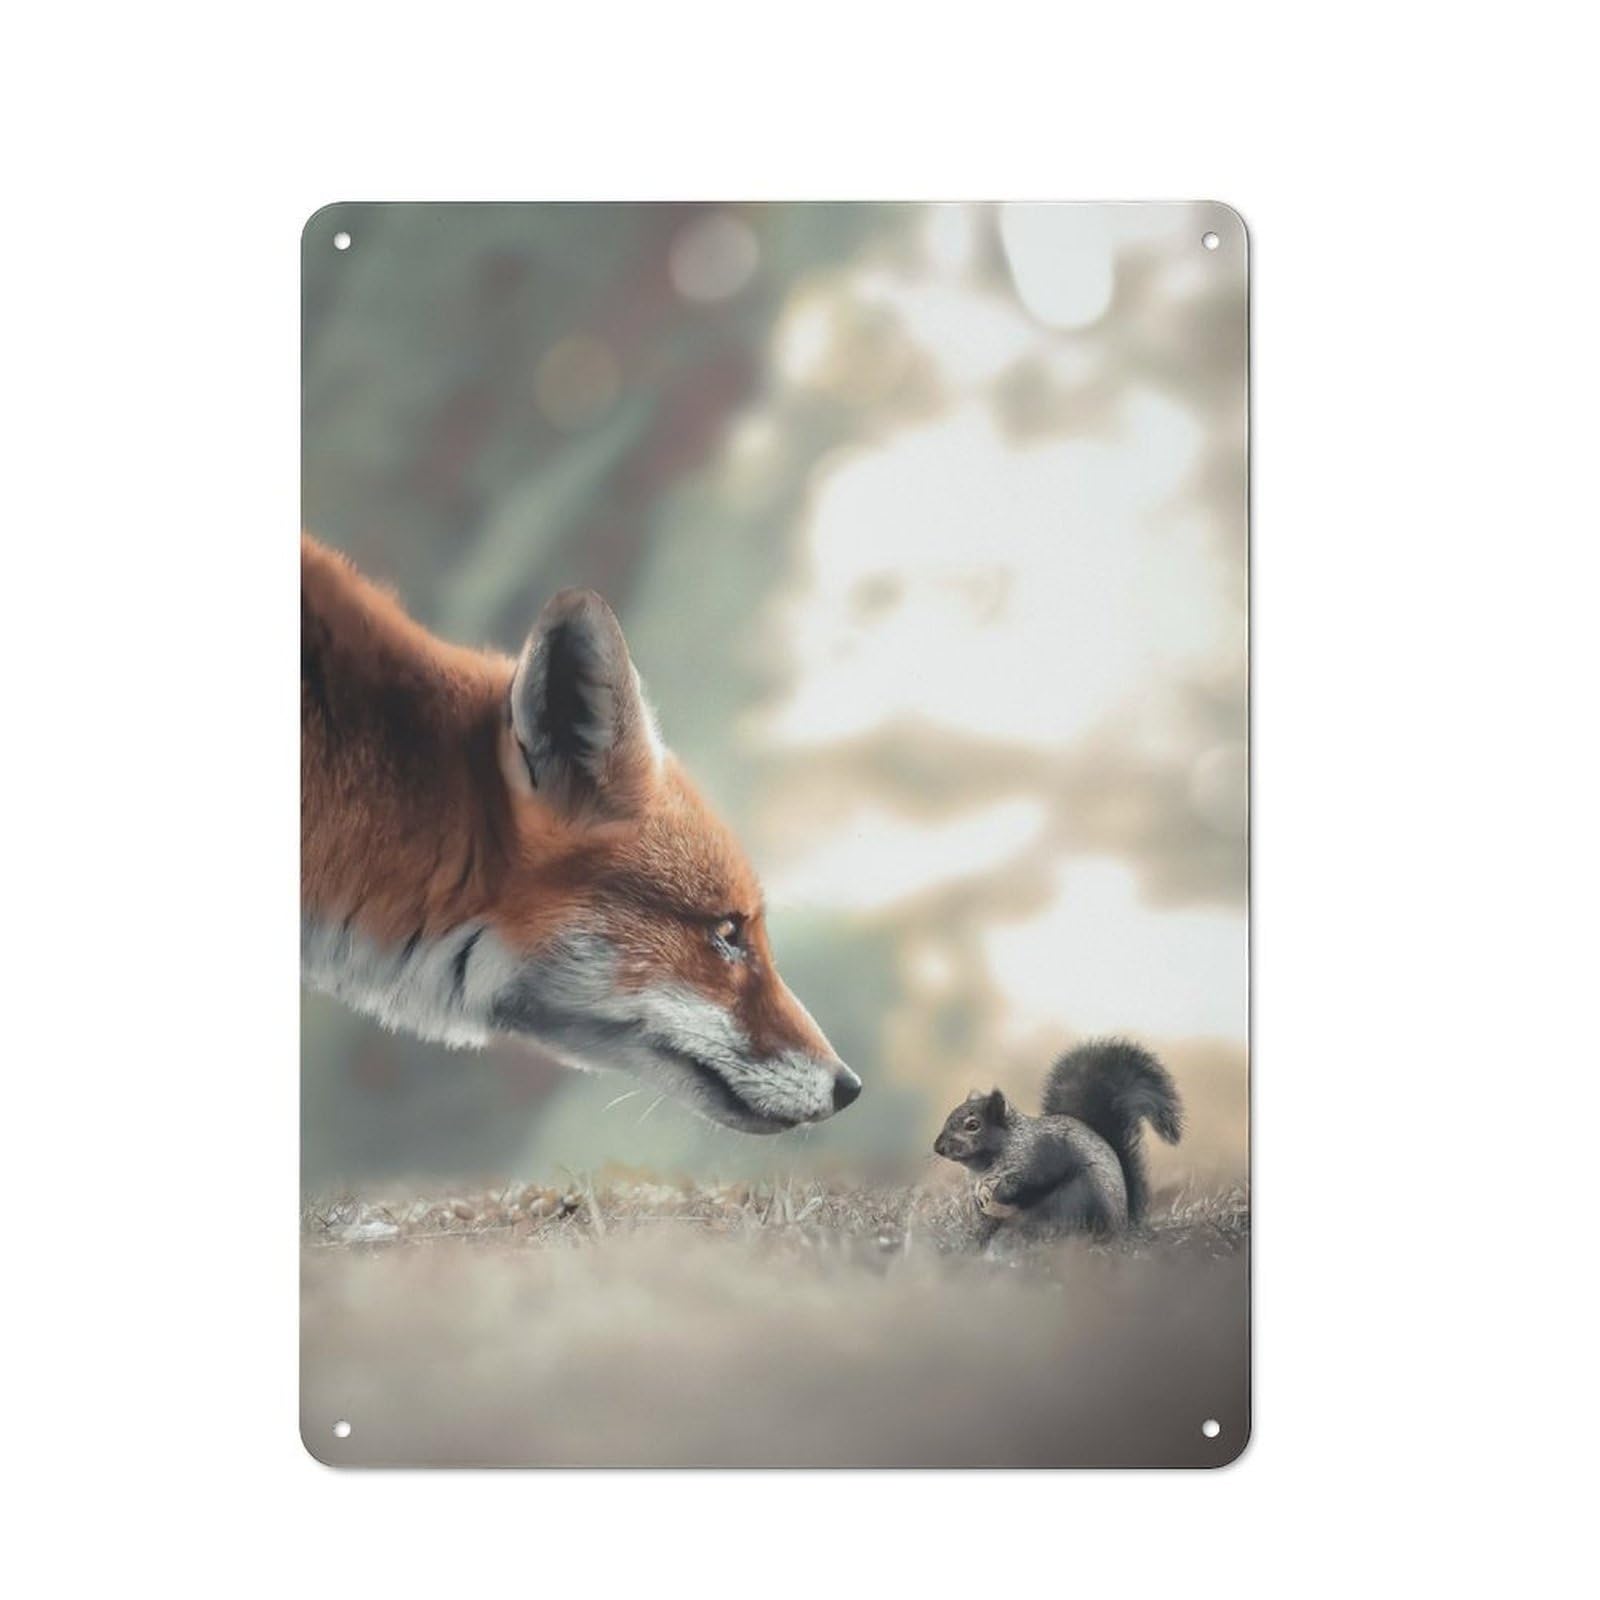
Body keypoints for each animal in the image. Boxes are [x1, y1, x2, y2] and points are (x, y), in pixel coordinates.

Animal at [932, 1038, 1183, 1241]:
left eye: (973, 1125)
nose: (938, 1148)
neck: (985, 1166)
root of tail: (1123, 1227)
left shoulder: (1043, 1157)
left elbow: (1031, 1182)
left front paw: (999, 1190)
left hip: (1079, 1196)